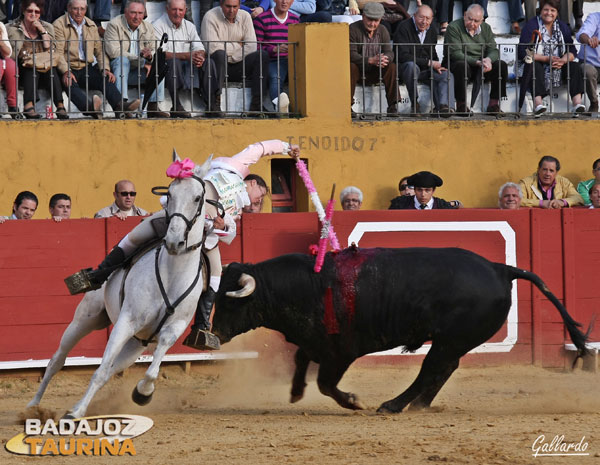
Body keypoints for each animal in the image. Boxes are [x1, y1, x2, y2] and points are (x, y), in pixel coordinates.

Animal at [28, 154, 212, 418]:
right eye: (170, 194)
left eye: (198, 198)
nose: (174, 241)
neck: (172, 273)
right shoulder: (127, 321)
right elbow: (100, 370)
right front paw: (76, 413)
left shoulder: (172, 330)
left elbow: (151, 371)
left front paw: (142, 394)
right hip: (86, 318)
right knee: (57, 361)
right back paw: (34, 407)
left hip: (136, 344)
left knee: (112, 368)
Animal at [213, 245, 588, 412]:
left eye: (230, 302)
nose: (210, 336)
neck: (306, 285)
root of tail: (501, 268)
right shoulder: (315, 342)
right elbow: (302, 359)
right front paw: (294, 392)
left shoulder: (341, 351)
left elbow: (325, 383)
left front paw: (353, 401)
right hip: (453, 341)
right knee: (443, 369)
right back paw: (419, 405)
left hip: (449, 340)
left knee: (432, 369)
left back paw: (394, 405)